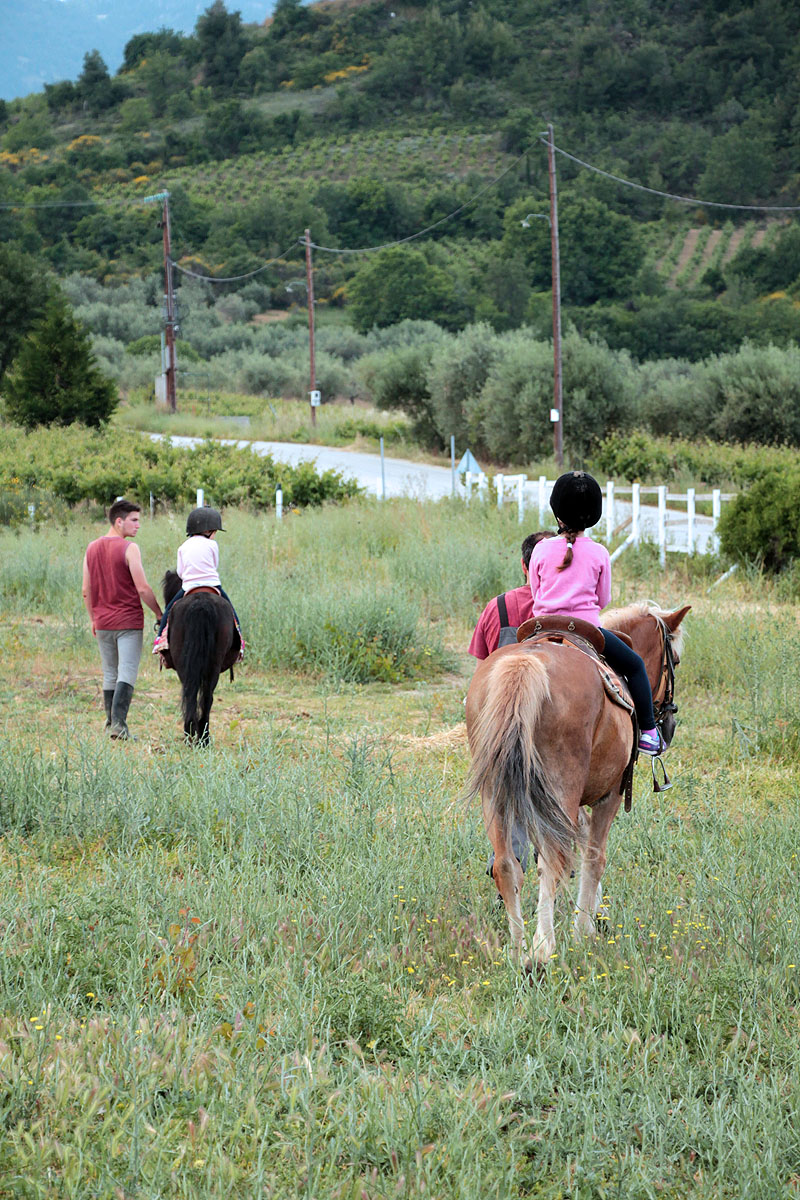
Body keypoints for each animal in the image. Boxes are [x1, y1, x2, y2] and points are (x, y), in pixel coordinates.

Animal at [160, 568, 239, 739]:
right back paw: (201, 736)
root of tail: (201, 604)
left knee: (193, 694)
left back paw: (192, 735)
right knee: (206, 697)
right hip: (213, 664)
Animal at [465, 604, 690, 969]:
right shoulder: (609, 794)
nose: (667, 726)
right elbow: (595, 857)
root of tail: (527, 664)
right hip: (560, 788)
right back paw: (542, 950)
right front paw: (585, 929)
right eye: (676, 661)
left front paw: (596, 914)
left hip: (498, 795)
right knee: (552, 863)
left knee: (507, 865)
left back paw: (516, 949)